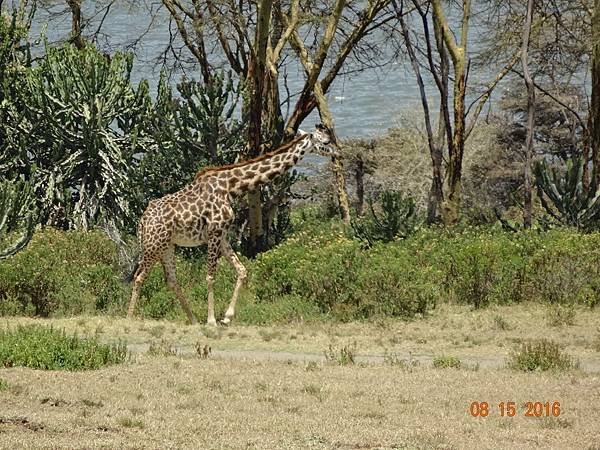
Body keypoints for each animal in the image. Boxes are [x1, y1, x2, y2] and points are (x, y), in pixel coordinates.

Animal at [126, 125, 338, 326]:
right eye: (325, 142)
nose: (338, 153)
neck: (231, 187)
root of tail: (142, 222)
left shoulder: (222, 235)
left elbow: (242, 270)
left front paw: (227, 317)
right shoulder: (214, 232)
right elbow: (211, 276)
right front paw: (212, 320)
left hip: (168, 246)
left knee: (171, 280)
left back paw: (193, 320)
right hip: (154, 245)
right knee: (139, 276)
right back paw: (130, 317)